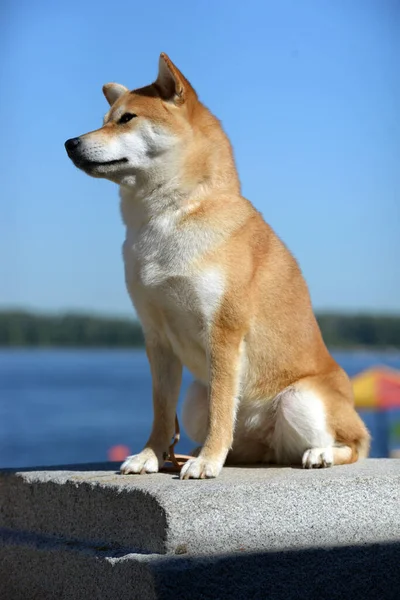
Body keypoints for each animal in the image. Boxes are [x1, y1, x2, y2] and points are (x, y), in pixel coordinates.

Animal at [65, 54, 368, 480]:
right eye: (105, 119)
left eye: (126, 118)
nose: (70, 142)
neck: (167, 217)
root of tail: (267, 445)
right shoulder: (156, 336)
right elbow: (162, 411)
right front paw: (151, 455)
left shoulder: (223, 330)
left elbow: (222, 407)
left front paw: (209, 461)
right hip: (195, 396)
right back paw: (198, 452)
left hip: (301, 399)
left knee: (355, 443)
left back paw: (320, 454)